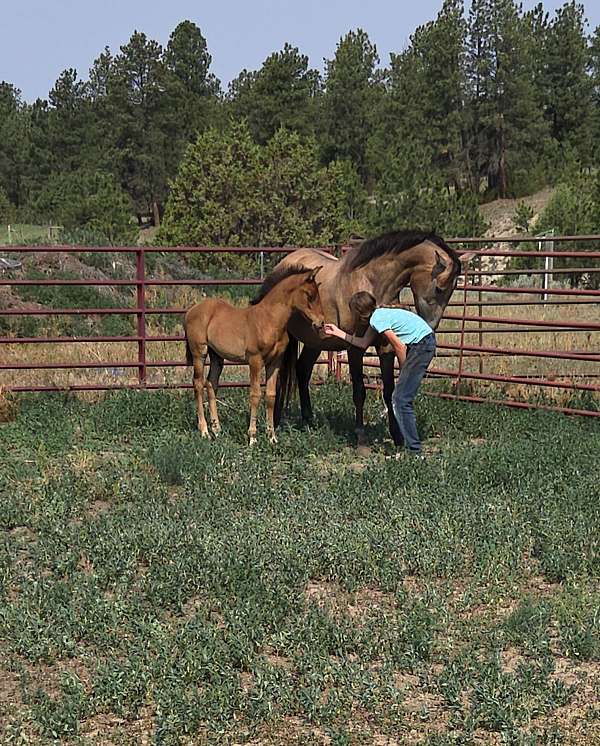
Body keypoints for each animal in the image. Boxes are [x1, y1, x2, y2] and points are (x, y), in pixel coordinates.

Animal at [184, 265, 324, 445]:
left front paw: (272, 437)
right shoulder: (255, 361)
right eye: (310, 295)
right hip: (199, 353)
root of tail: (190, 311)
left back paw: (217, 429)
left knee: (211, 383)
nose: (320, 323)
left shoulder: (275, 362)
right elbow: (255, 394)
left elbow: (271, 395)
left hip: (217, 356)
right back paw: (204, 431)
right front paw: (252, 437)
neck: (269, 319)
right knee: (198, 384)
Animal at [267, 230, 474, 445]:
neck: (370, 282)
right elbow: (359, 390)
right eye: (439, 288)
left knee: (303, 370)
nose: (431, 327)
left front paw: (397, 436)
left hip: (315, 342)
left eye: (453, 288)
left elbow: (389, 390)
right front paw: (361, 435)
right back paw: (278, 420)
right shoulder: (355, 348)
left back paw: (308, 421)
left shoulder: (386, 347)